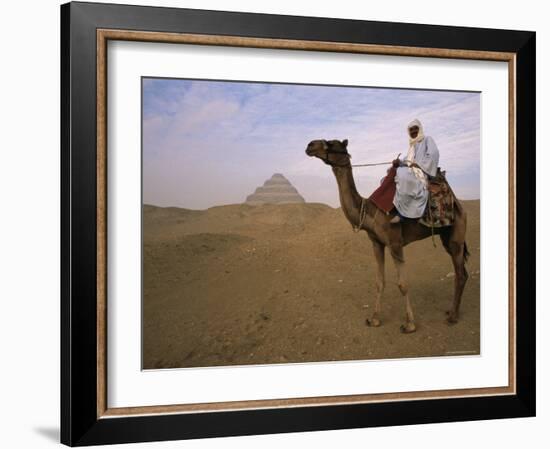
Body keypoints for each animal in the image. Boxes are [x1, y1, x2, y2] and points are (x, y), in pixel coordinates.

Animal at [306, 139, 470, 332]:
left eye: (331, 143)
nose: (310, 145)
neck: (369, 212)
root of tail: (457, 204)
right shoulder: (376, 243)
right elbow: (379, 282)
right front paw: (374, 319)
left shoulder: (395, 243)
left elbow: (403, 284)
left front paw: (409, 324)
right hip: (446, 236)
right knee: (462, 272)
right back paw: (451, 311)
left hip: (457, 235)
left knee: (460, 274)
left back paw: (453, 316)